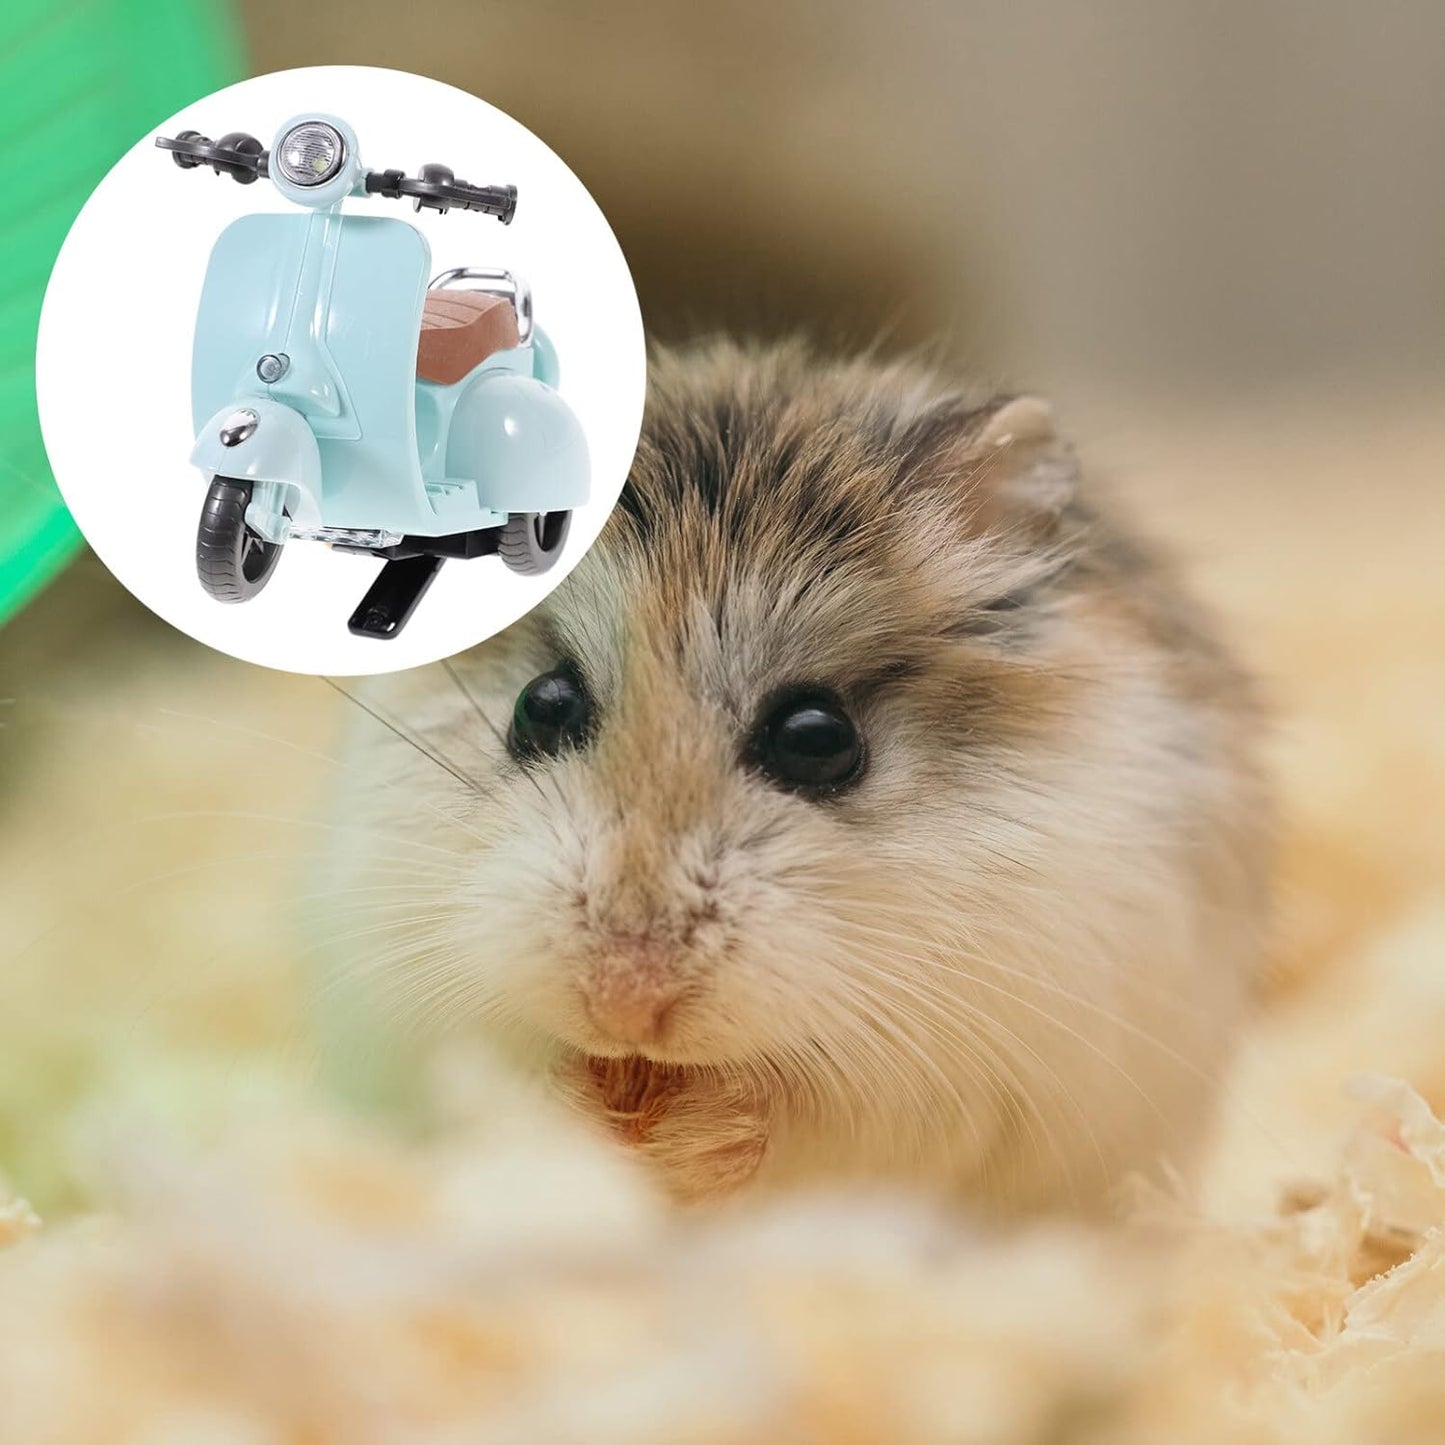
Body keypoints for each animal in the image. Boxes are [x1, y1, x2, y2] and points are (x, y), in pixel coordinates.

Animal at [327, 338, 1270, 1213]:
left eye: (818, 738)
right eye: (541, 705)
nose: (624, 1007)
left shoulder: (961, 1072)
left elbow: (797, 1121)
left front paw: (685, 1140)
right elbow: (496, 1080)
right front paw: (591, 1118)